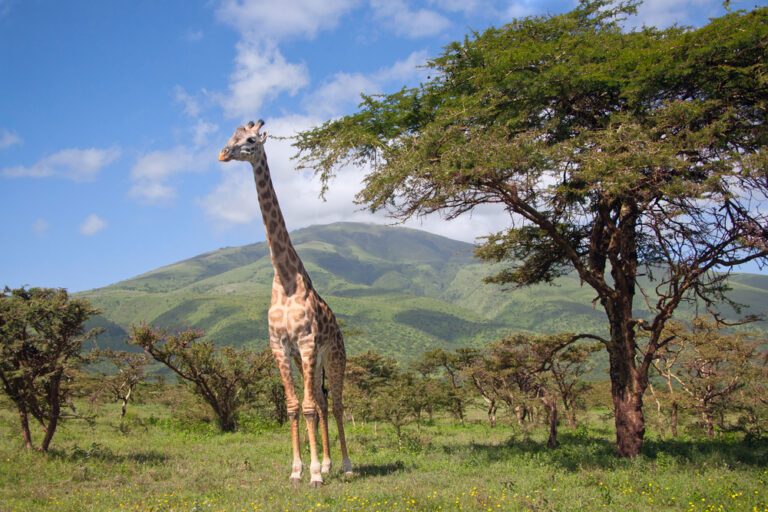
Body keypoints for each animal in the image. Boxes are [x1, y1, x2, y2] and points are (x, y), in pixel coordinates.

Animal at [218, 120, 352, 487]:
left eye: (251, 140)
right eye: (231, 137)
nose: (223, 153)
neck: (286, 278)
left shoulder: (306, 343)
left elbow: (306, 408)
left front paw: (315, 475)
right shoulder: (280, 347)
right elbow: (294, 407)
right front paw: (298, 470)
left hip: (333, 356)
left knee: (335, 404)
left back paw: (346, 465)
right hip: (311, 361)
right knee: (321, 402)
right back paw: (330, 463)